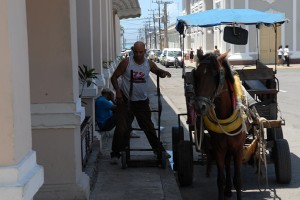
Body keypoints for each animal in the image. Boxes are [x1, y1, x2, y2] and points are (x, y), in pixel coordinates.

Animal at [193, 50, 247, 199]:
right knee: (227, 164)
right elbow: (220, 180)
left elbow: (238, 180)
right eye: (196, 75)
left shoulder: (238, 148)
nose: (199, 107)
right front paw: (223, 190)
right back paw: (228, 189)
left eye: (215, 76)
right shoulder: (218, 148)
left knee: (229, 163)